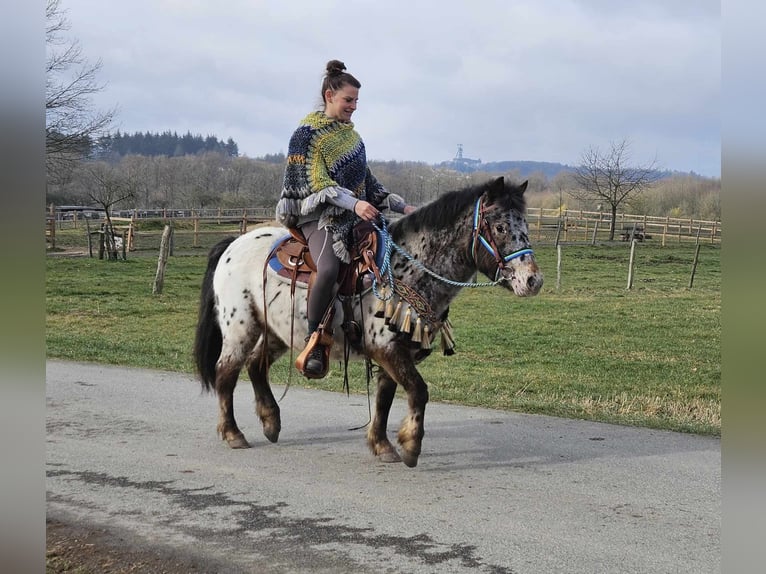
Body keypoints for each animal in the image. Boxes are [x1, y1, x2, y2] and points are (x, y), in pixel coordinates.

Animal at [198, 178, 544, 470]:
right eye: (500, 226)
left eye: (525, 225)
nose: (533, 281)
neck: (408, 268)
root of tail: (233, 244)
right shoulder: (386, 348)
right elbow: (418, 391)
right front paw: (410, 445)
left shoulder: (395, 351)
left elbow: (385, 398)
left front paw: (382, 445)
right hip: (241, 328)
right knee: (226, 372)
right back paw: (233, 434)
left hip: (278, 331)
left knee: (256, 365)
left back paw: (270, 422)